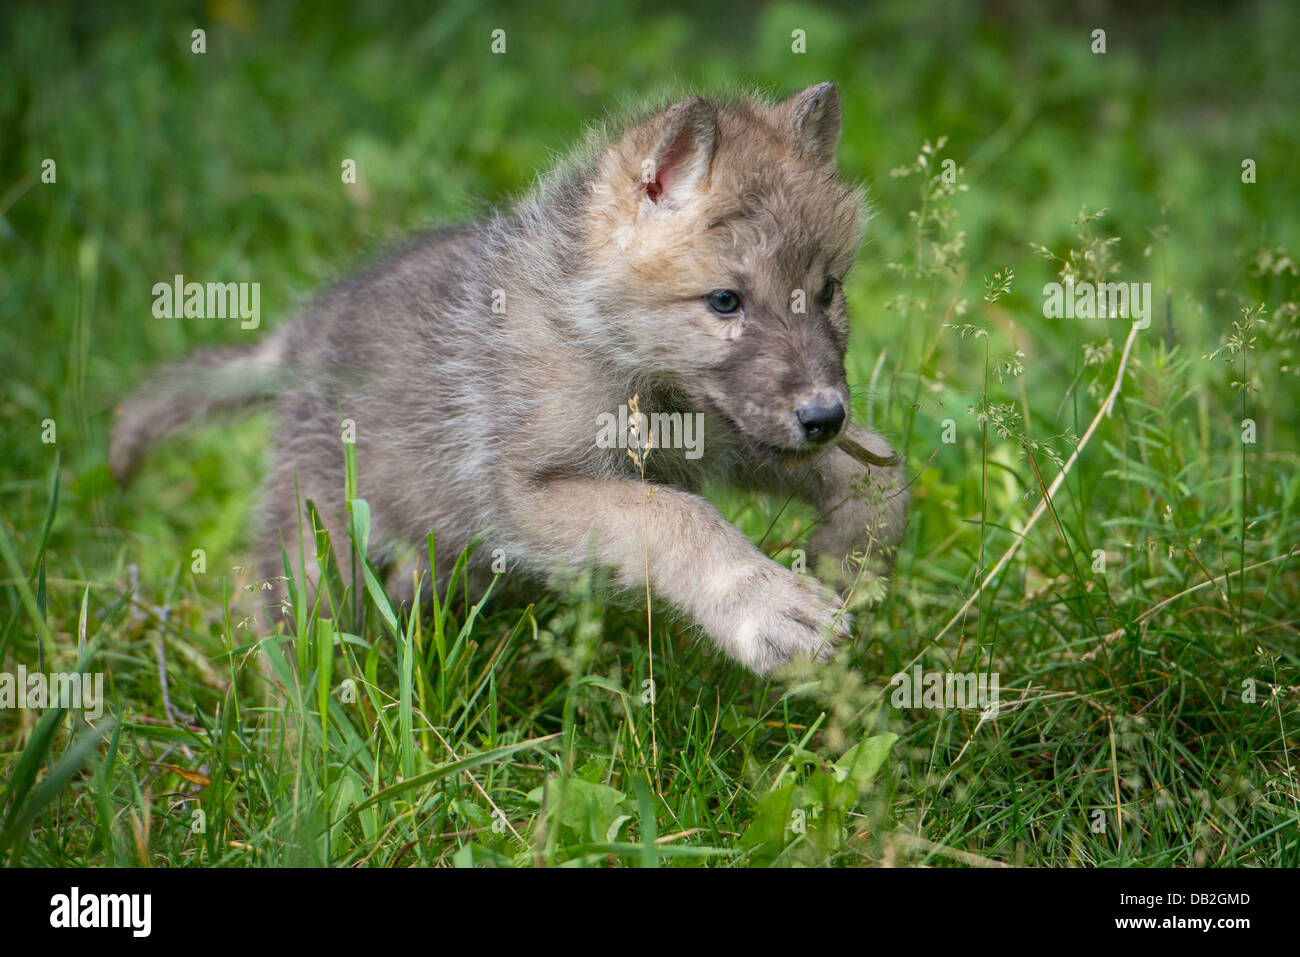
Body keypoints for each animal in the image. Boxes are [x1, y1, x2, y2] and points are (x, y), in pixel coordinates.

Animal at [110, 83, 909, 675]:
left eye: (828, 290)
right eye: (724, 301)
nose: (824, 416)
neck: (613, 349)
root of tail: (300, 332)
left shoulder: (734, 436)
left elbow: (881, 475)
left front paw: (848, 563)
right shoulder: (529, 493)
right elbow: (677, 519)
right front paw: (769, 609)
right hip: (321, 541)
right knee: (286, 648)